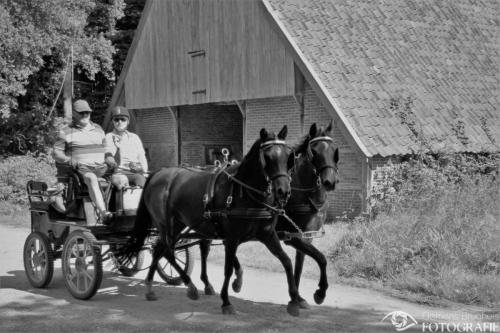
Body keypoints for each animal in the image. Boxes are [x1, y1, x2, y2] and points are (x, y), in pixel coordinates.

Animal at [123, 126, 306, 316]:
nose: (283, 191)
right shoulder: (232, 237)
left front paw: (294, 300)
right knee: (167, 251)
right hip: (167, 225)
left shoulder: (267, 235)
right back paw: (189, 286)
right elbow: (228, 269)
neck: (244, 192)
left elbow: (286, 261)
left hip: (177, 225)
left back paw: (151, 286)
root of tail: (158, 173)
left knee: (160, 249)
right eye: (268, 157)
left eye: (288, 156)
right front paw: (226, 301)